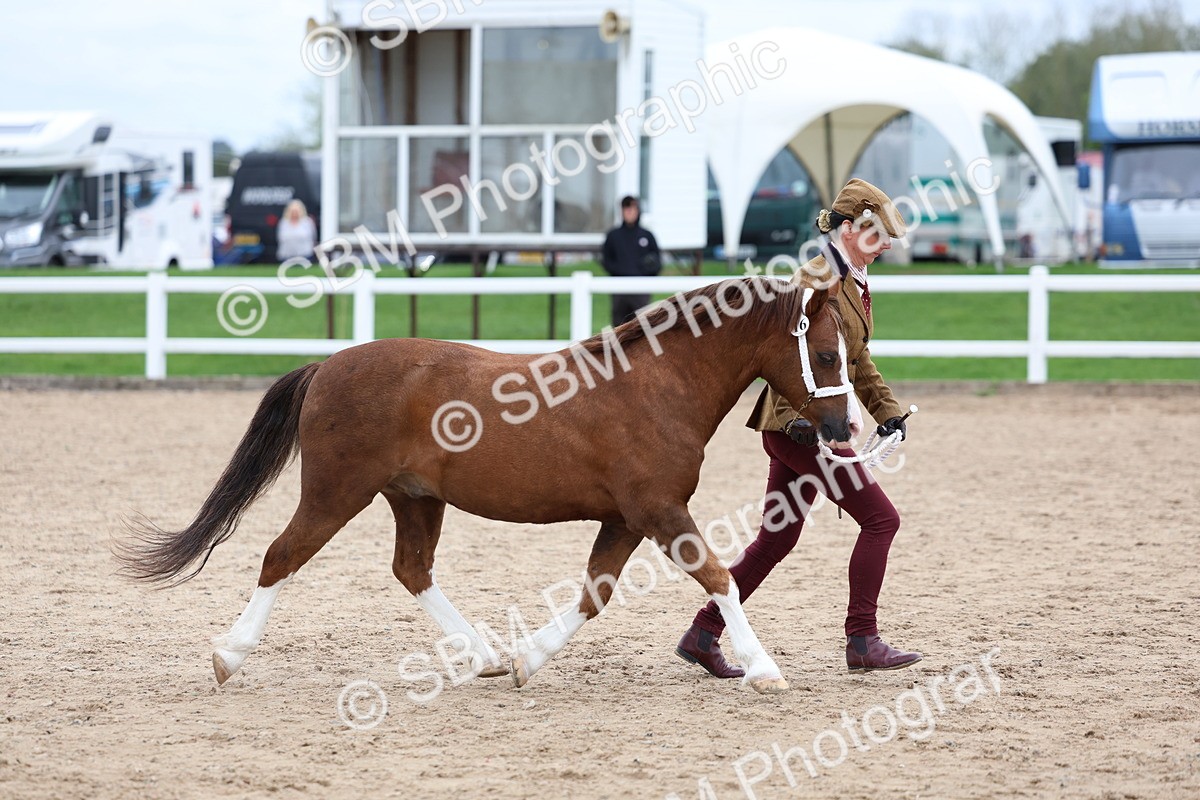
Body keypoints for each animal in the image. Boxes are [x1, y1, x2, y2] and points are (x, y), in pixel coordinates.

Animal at [115, 277, 856, 694]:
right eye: (825, 353)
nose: (845, 424)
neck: (657, 386)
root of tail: (327, 366)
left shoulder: (625, 518)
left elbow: (594, 594)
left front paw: (528, 659)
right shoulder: (658, 510)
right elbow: (719, 577)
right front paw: (763, 668)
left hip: (414, 498)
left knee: (411, 569)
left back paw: (484, 657)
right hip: (336, 493)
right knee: (281, 556)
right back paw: (227, 657)